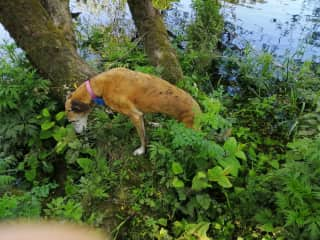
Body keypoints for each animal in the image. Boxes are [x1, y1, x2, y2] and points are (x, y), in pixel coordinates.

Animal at [64, 67, 200, 156]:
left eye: (73, 121)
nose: (79, 135)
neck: (99, 85)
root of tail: (199, 110)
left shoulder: (134, 115)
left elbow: (142, 137)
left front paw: (141, 151)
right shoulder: (139, 113)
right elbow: (145, 122)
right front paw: (152, 125)